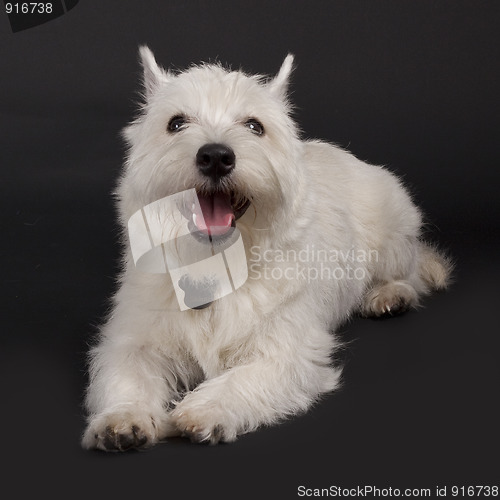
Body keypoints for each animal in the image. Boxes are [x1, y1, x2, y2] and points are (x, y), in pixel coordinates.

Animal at [81, 47, 450, 452]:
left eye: (254, 126)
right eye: (176, 123)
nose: (215, 156)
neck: (214, 262)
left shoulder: (290, 350)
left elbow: (246, 378)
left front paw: (204, 409)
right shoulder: (135, 338)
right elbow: (128, 371)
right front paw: (123, 417)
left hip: (392, 233)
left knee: (411, 274)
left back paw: (389, 295)